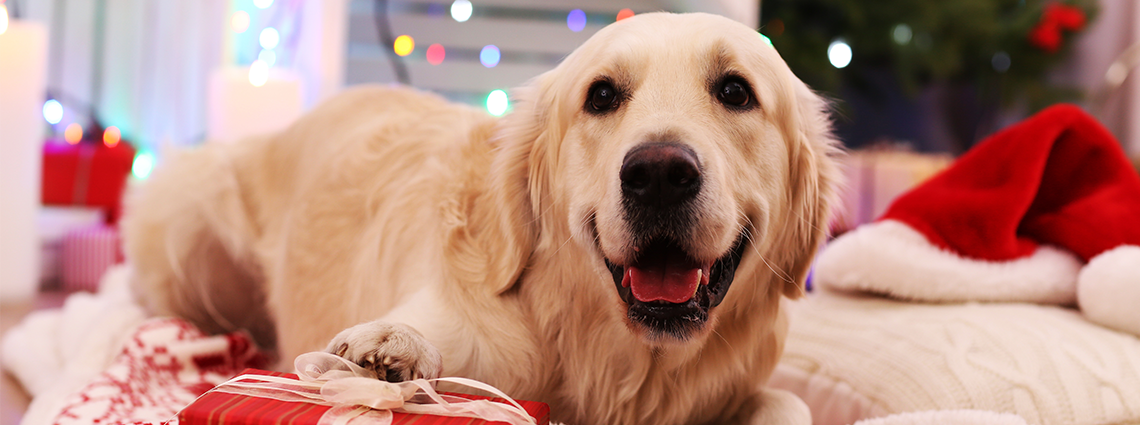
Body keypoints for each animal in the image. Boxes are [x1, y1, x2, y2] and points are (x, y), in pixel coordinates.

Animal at [122, 12, 839, 423]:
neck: (611, 360)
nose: (659, 173)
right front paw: (393, 349)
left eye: (735, 91)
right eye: (602, 95)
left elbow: (792, 402)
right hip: (189, 213)